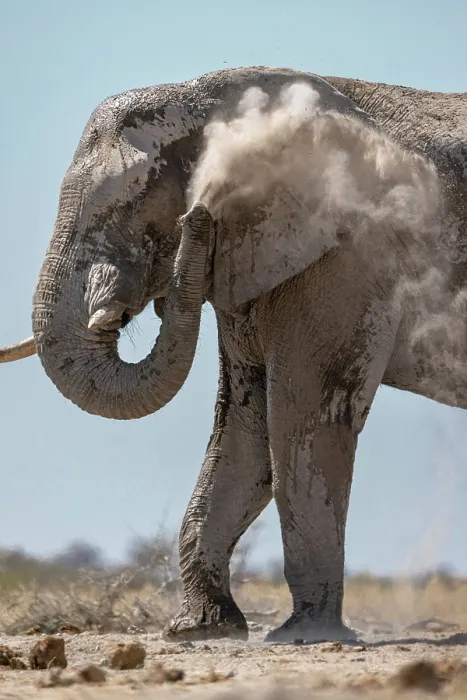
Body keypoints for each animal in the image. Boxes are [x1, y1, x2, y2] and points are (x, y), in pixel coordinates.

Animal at [1, 66, 466, 643]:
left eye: (130, 205)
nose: (198, 217)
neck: (218, 94)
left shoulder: (347, 257)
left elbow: (304, 421)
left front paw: (304, 635)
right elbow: (246, 430)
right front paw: (200, 629)